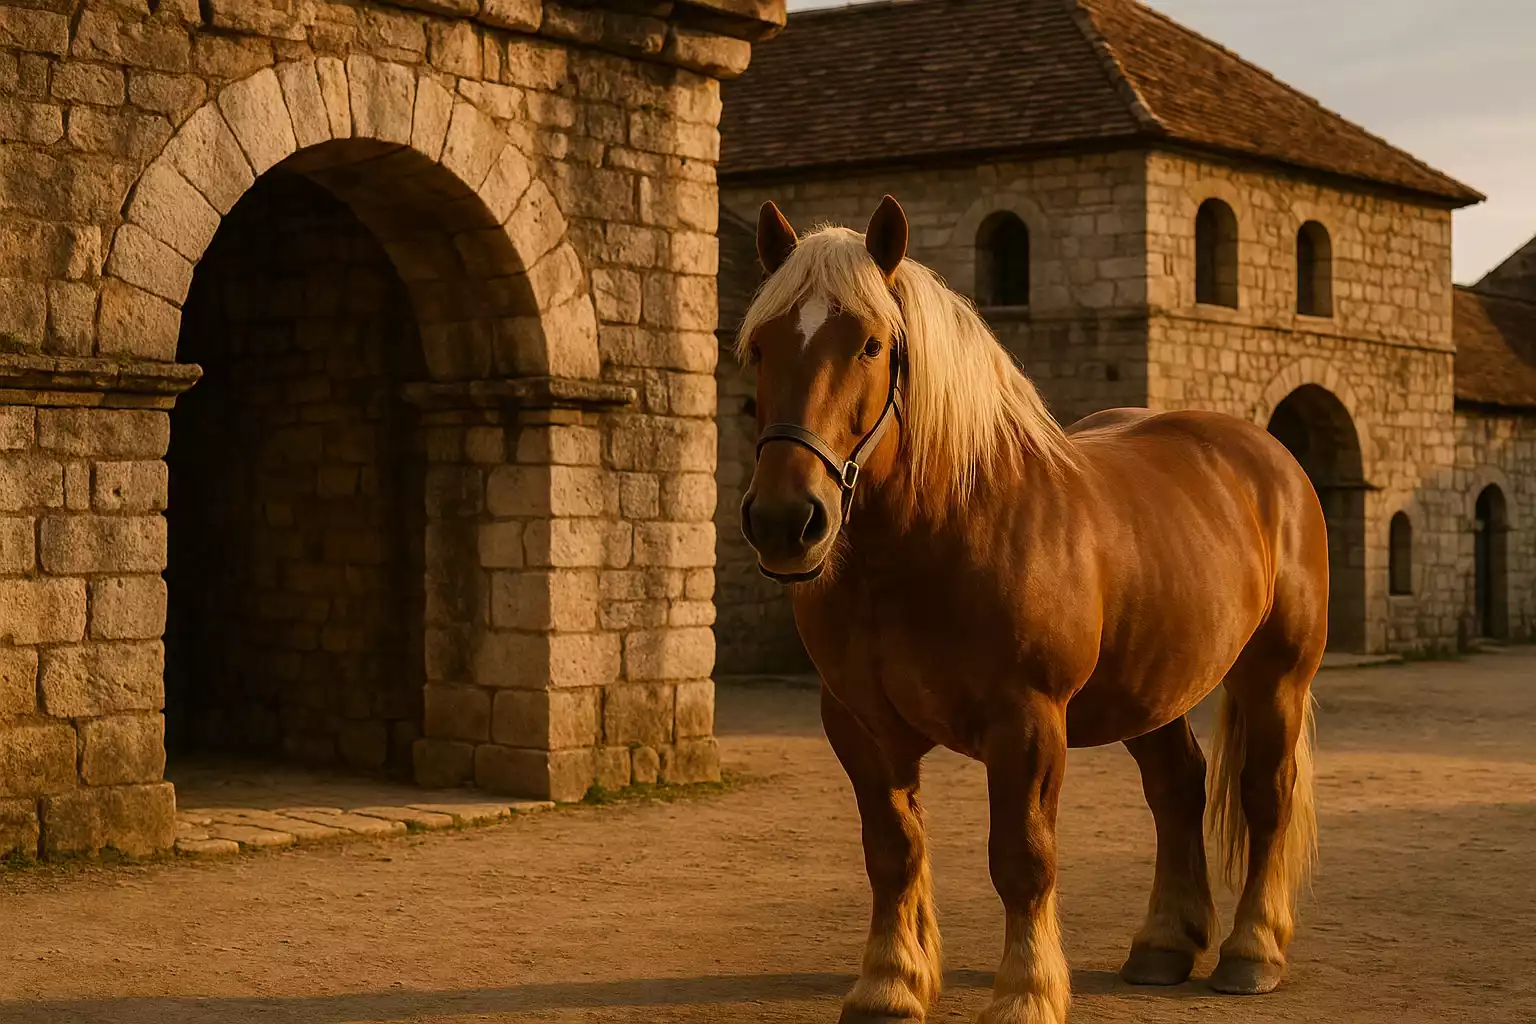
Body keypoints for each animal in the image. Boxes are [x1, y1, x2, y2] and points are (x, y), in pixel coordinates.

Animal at [735, 195, 1324, 1024]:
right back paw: (1164, 945)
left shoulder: (1028, 723)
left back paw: (1252, 952)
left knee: (1265, 796)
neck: (933, 539)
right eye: (760, 345)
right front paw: (891, 983)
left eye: (872, 345)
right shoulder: (859, 725)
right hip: (1151, 690)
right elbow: (893, 852)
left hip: (1275, 678)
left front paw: (1026, 992)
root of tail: (1268, 458)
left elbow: (1022, 859)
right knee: (1177, 789)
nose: (787, 521)